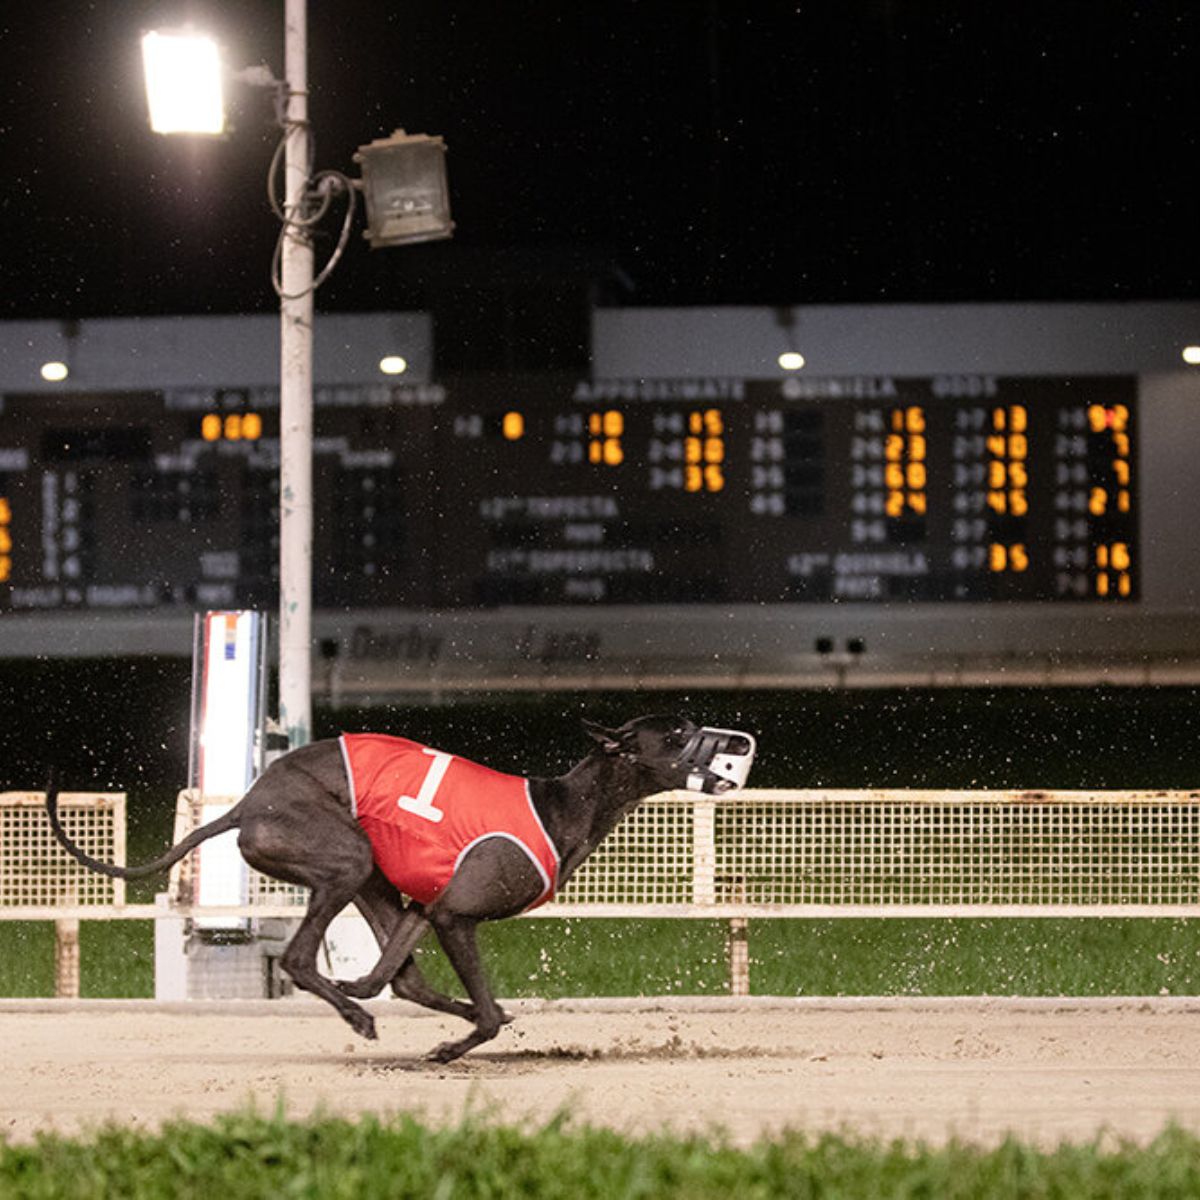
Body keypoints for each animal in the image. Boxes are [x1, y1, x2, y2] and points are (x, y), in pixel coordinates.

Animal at [54, 710, 758, 1060]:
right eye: (676, 735)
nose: (740, 746)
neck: (565, 806)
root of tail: (247, 804)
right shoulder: (455, 916)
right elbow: (475, 1011)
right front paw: (450, 1048)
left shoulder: (427, 903)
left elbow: (402, 975)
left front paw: (457, 1018)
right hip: (345, 857)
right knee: (300, 958)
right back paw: (359, 1018)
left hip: (371, 875)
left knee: (397, 978)